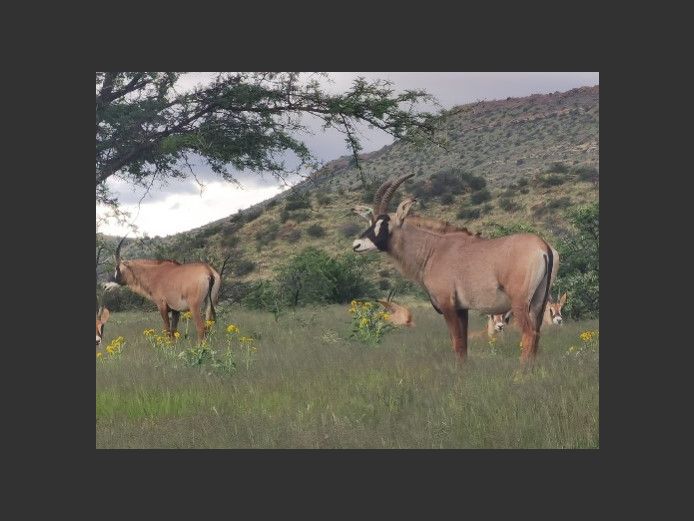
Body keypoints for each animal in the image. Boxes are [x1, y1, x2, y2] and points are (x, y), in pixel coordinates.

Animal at [354, 175, 560, 362]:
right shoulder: (462, 309)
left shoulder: (448, 306)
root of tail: (544, 247)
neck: (433, 250)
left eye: (384, 222)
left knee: (529, 335)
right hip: (539, 304)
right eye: (371, 221)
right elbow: (463, 346)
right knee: (536, 335)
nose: (356, 244)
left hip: (520, 304)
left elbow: (457, 343)